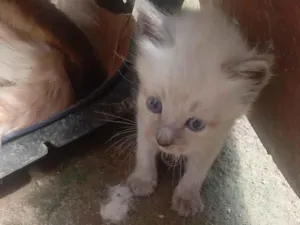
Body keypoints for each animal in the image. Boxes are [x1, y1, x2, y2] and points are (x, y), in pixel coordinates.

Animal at [126, 0, 274, 217]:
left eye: (196, 124)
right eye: (154, 104)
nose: (163, 141)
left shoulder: (213, 139)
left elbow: (197, 171)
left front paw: (187, 197)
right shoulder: (144, 119)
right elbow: (144, 150)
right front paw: (143, 180)